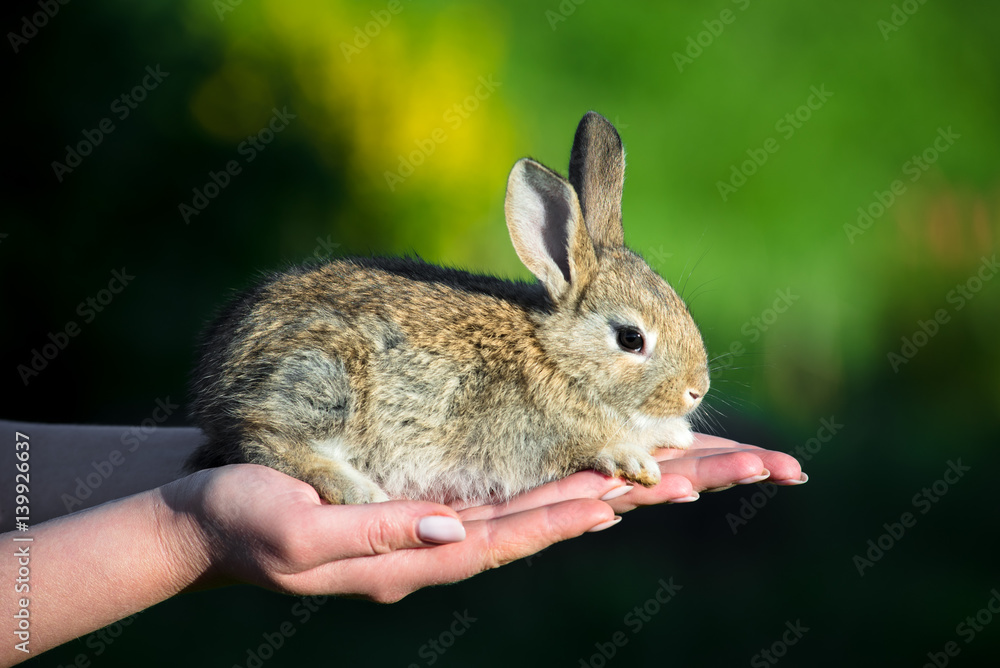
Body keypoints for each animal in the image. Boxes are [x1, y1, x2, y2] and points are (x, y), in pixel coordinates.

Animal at [186, 111, 710, 505]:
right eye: (631, 339)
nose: (696, 391)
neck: (555, 357)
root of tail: (214, 377)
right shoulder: (535, 439)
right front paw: (631, 457)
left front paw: (675, 435)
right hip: (320, 380)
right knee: (262, 437)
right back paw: (359, 490)